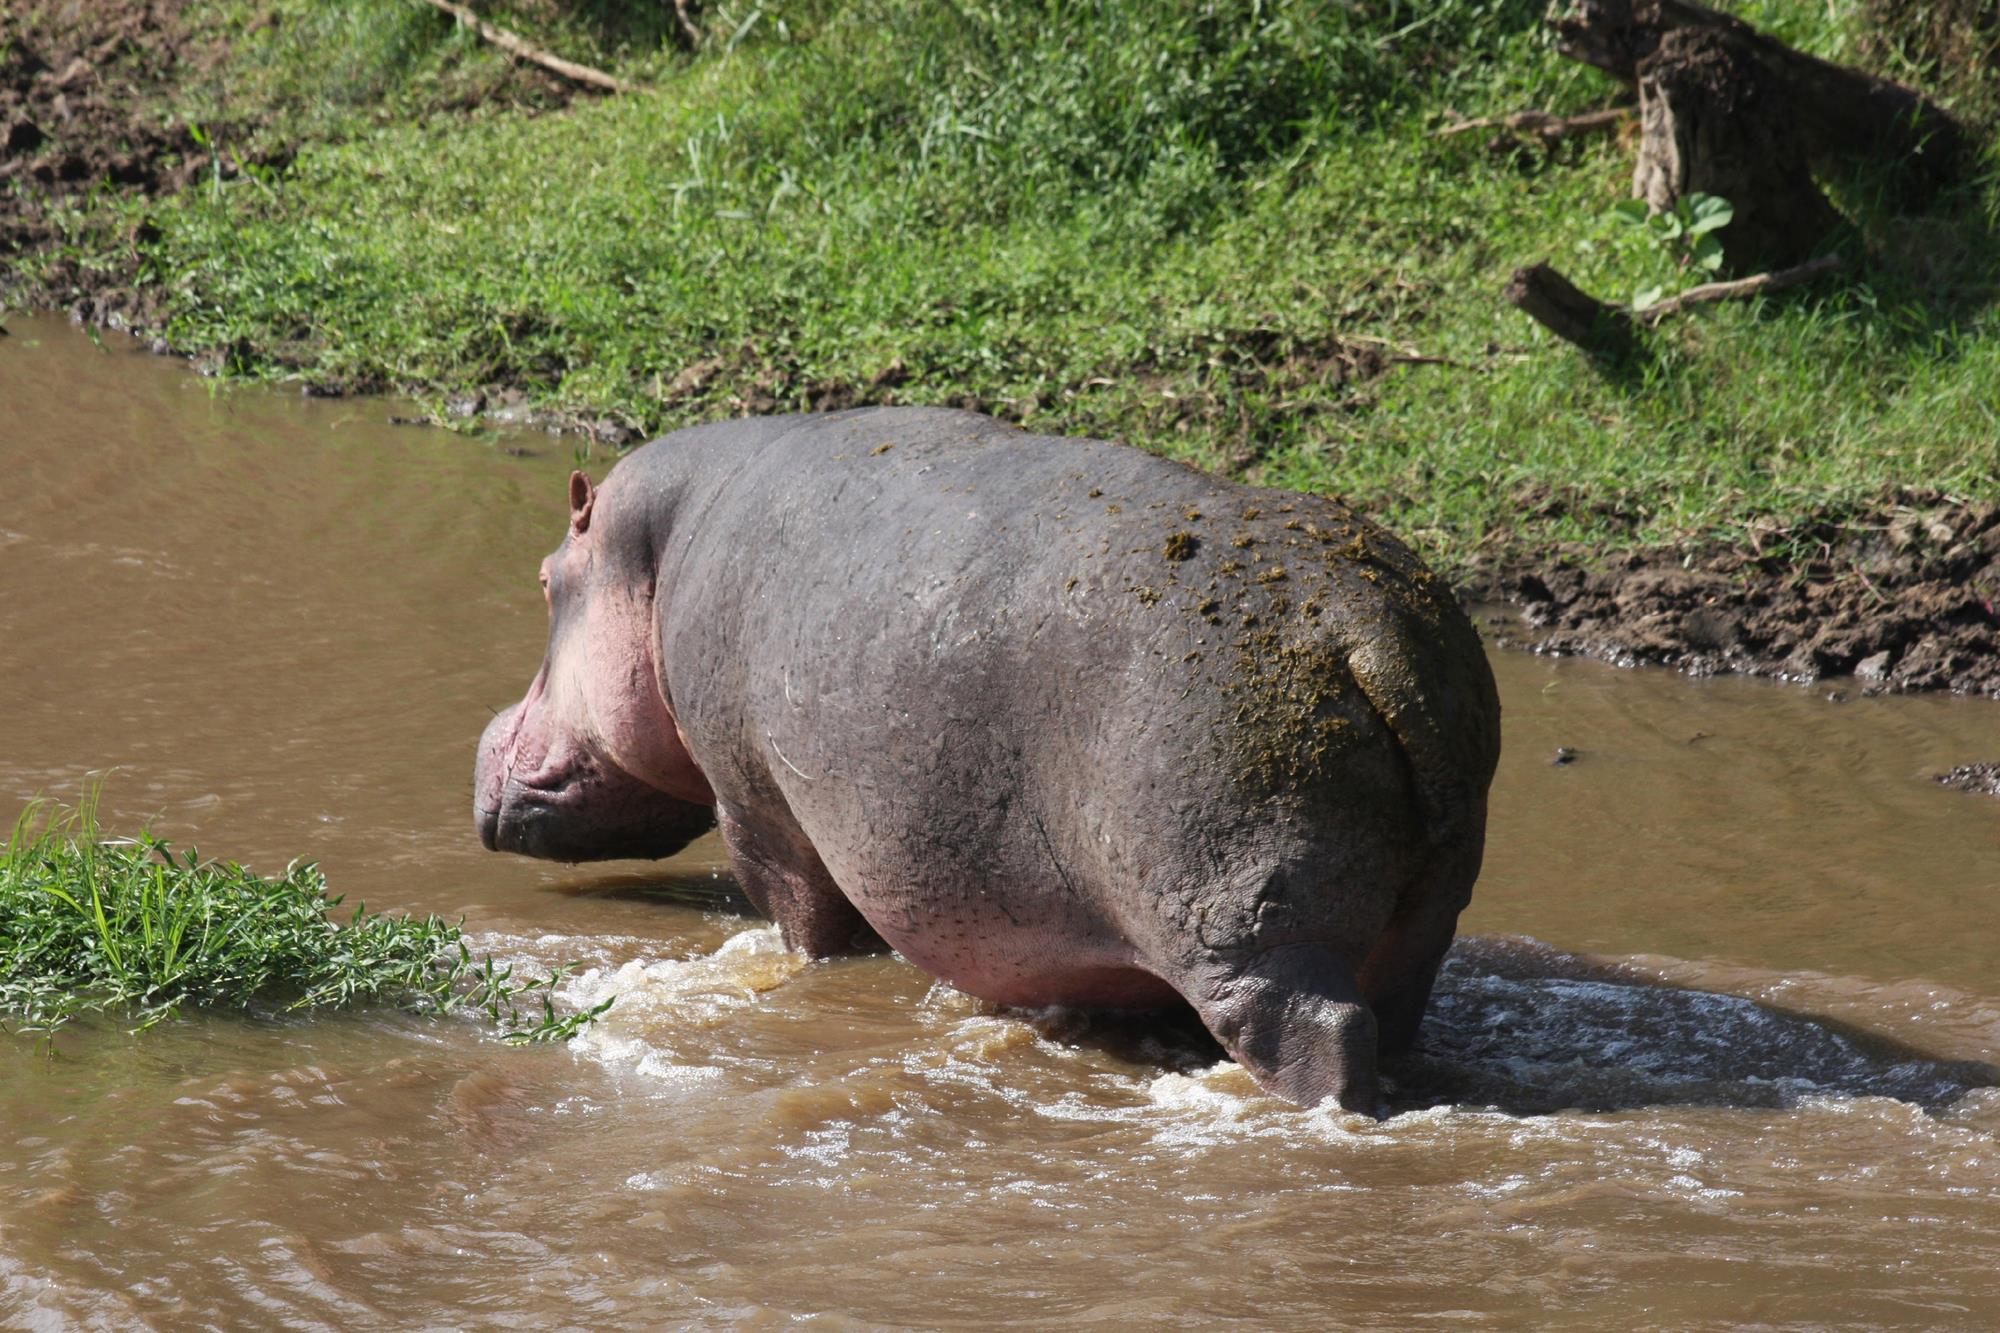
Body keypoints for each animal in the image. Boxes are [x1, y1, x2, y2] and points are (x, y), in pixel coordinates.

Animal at [475, 408, 1500, 1111]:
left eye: (544, 581)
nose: (483, 748)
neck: (656, 546)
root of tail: (1369, 630)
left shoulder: (759, 807)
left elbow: (807, 926)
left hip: (1246, 925)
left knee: (1314, 1030)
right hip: (1423, 915)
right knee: (1393, 1010)